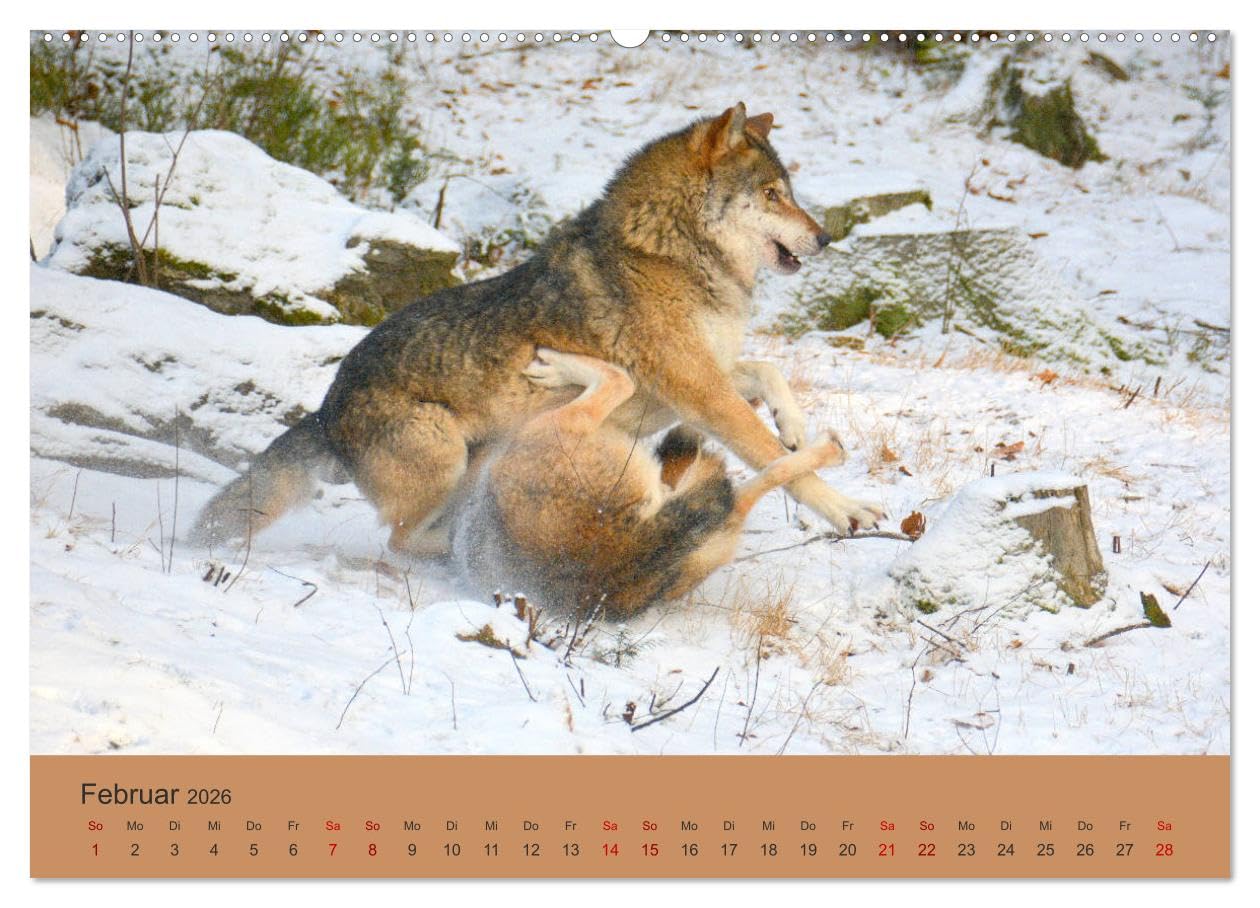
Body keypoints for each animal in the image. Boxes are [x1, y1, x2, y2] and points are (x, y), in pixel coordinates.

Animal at [191, 102, 884, 553]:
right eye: (772, 194)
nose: (826, 238)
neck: (668, 252)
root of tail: (324, 413)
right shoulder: (701, 391)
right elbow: (778, 461)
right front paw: (848, 510)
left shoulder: (705, 379)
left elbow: (769, 372)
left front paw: (794, 426)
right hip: (445, 458)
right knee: (399, 541)